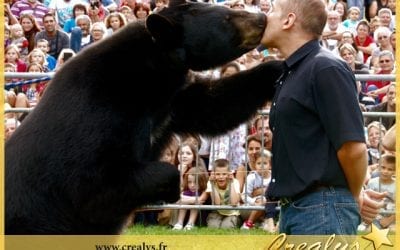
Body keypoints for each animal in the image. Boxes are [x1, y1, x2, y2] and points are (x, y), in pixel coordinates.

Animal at [5, 0, 282, 234]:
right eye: (226, 18)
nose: (261, 18)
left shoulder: (173, 104)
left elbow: (213, 106)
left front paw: (275, 69)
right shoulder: (99, 113)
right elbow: (92, 185)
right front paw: (168, 189)